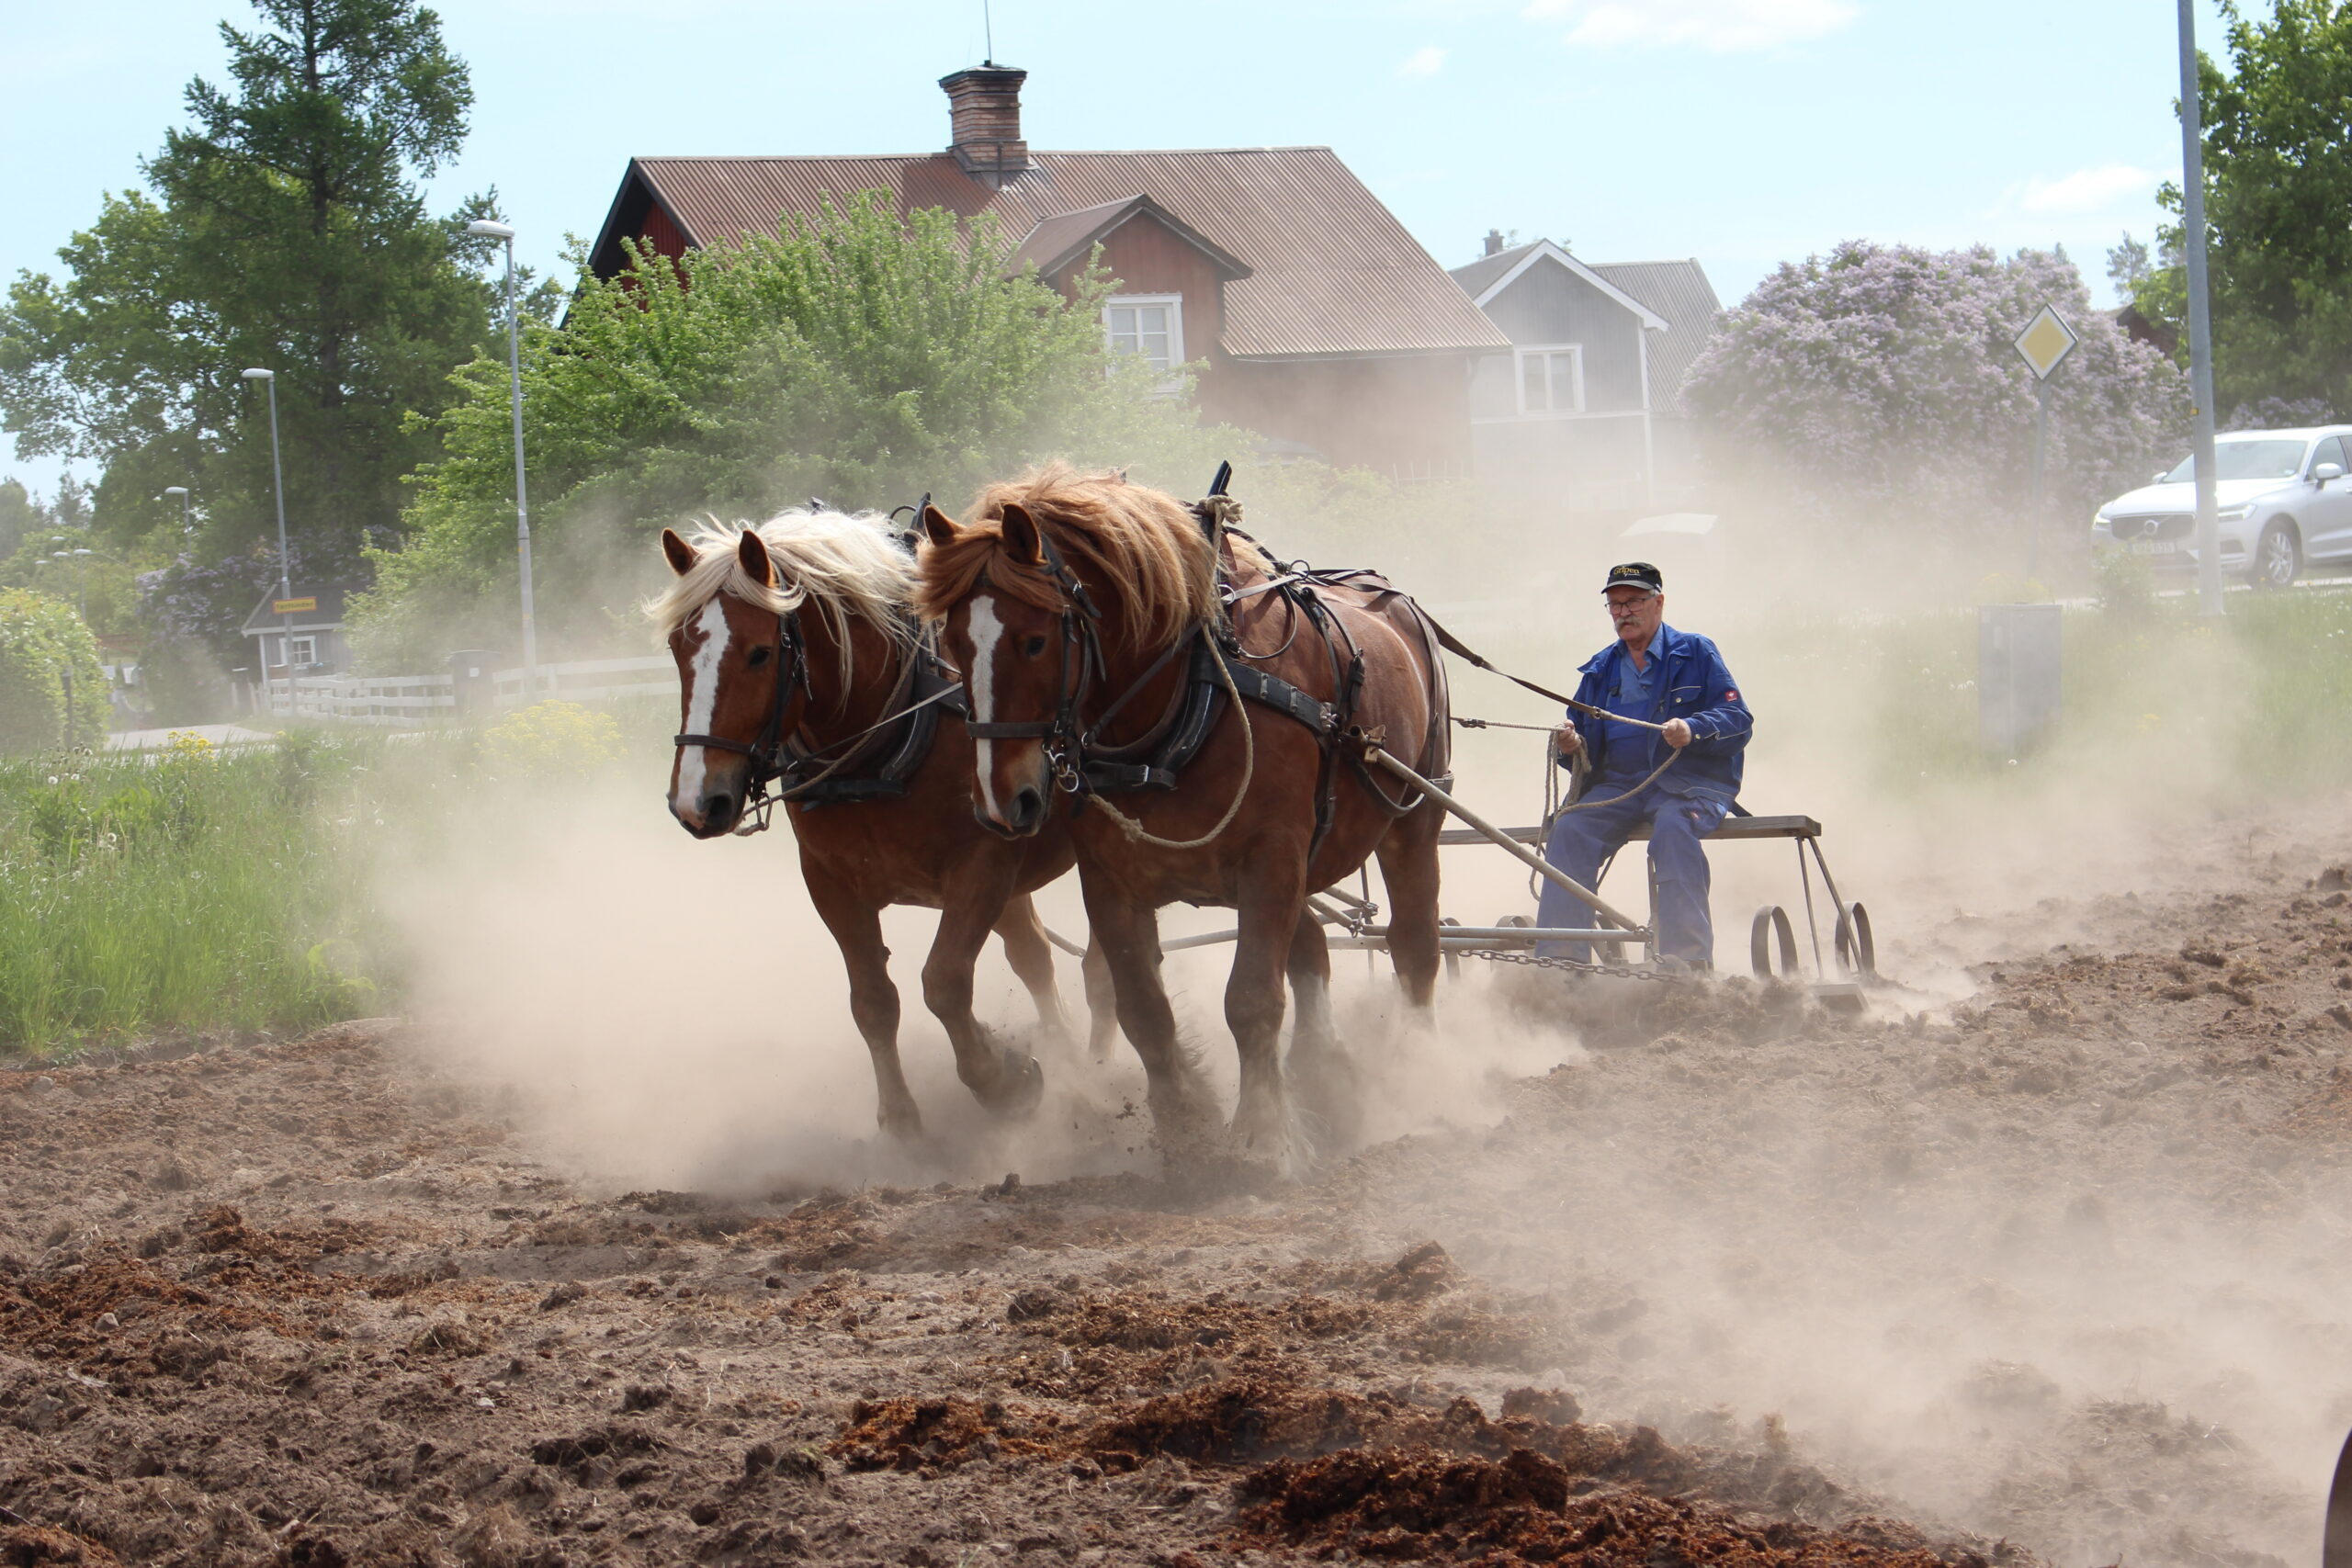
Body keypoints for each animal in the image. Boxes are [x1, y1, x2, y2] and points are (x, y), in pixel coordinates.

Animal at [653, 512, 1110, 1142]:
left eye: (760, 654)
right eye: (678, 649)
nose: (697, 800)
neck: (886, 737)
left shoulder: (984, 865)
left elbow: (944, 983)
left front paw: (1003, 1081)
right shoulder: (831, 884)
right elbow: (872, 1000)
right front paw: (899, 1115)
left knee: (1099, 964)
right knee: (1035, 954)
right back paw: (1064, 1047)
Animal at [917, 465, 1448, 1166]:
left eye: (1034, 641)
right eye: (952, 643)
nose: (1003, 801)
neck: (1183, 700)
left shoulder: (1272, 860)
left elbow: (1251, 1000)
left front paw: (1262, 1135)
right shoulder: (1110, 878)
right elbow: (1144, 1010)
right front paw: (1184, 1127)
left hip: (1415, 818)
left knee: (1414, 949)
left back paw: (1416, 1064)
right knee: (1312, 945)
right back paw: (1324, 1070)